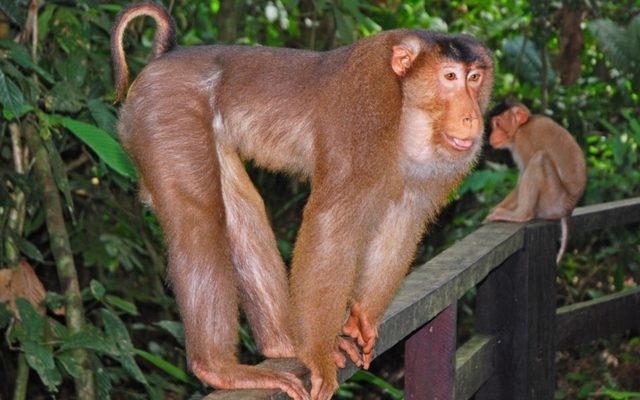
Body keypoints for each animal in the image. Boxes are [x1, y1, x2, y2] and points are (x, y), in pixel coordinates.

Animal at [111, 3, 493, 399]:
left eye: (474, 78)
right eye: (450, 77)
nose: (471, 117)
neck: (407, 109)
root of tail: (167, 56)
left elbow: (404, 219)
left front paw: (361, 317)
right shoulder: (366, 101)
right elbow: (332, 220)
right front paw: (318, 355)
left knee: (241, 209)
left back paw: (283, 343)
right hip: (168, 112)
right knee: (197, 219)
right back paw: (219, 368)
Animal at [485, 101, 586, 263]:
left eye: (498, 123)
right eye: (494, 125)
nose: (492, 135)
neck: (522, 127)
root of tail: (568, 209)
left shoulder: (523, 141)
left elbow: (523, 175)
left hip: (552, 201)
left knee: (540, 159)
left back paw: (521, 215)